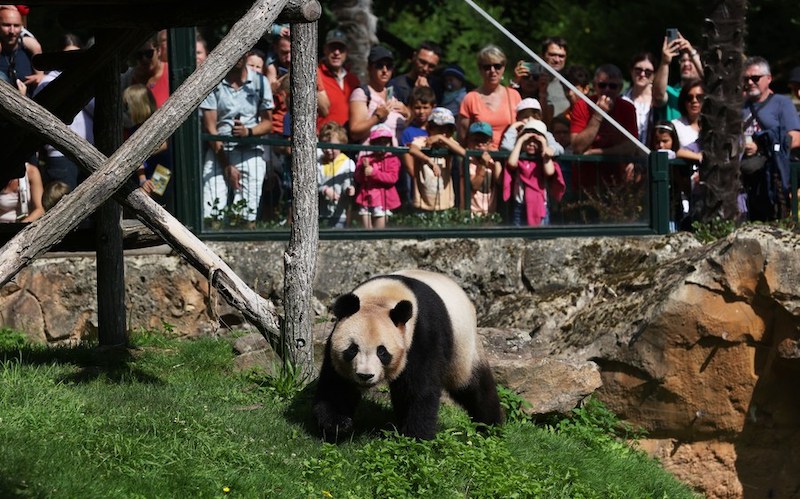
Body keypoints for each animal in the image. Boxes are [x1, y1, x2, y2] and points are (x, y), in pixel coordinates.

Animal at [310, 270, 500, 442]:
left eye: (382, 351)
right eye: (352, 349)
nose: (365, 375)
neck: (381, 297)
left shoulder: (422, 335)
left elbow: (419, 389)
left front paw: (416, 438)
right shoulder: (336, 343)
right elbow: (337, 384)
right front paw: (338, 424)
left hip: (462, 345)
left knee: (473, 386)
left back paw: (491, 426)